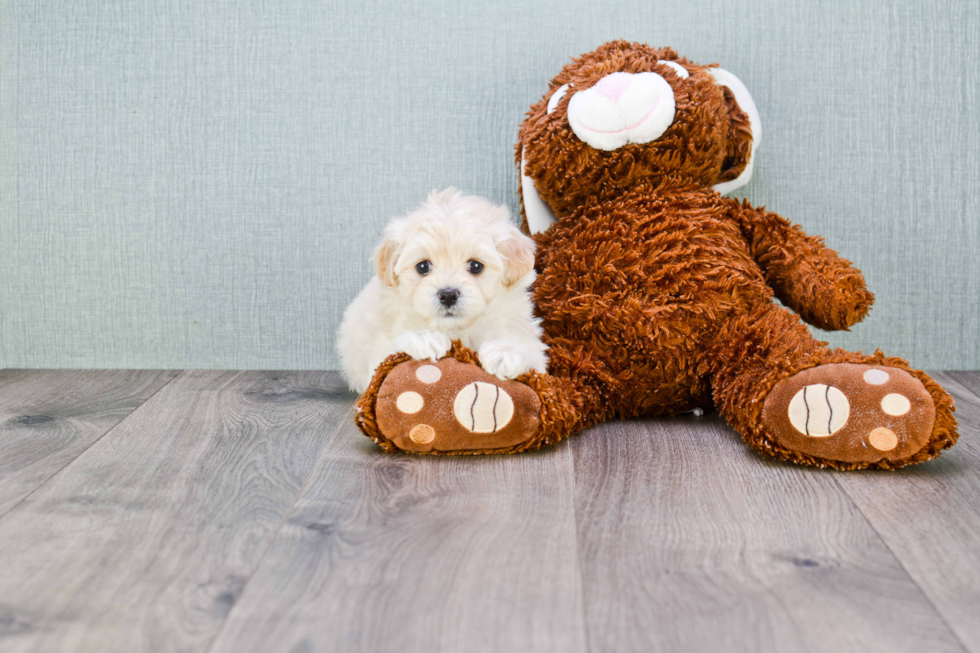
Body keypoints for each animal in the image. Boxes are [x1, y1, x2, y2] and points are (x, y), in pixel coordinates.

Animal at [338, 187, 552, 392]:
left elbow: (530, 350)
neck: (456, 330)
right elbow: (388, 356)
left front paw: (506, 352)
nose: (448, 295)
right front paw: (422, 338)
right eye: (423, 266)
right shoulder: (379, 353)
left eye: (476, 266)